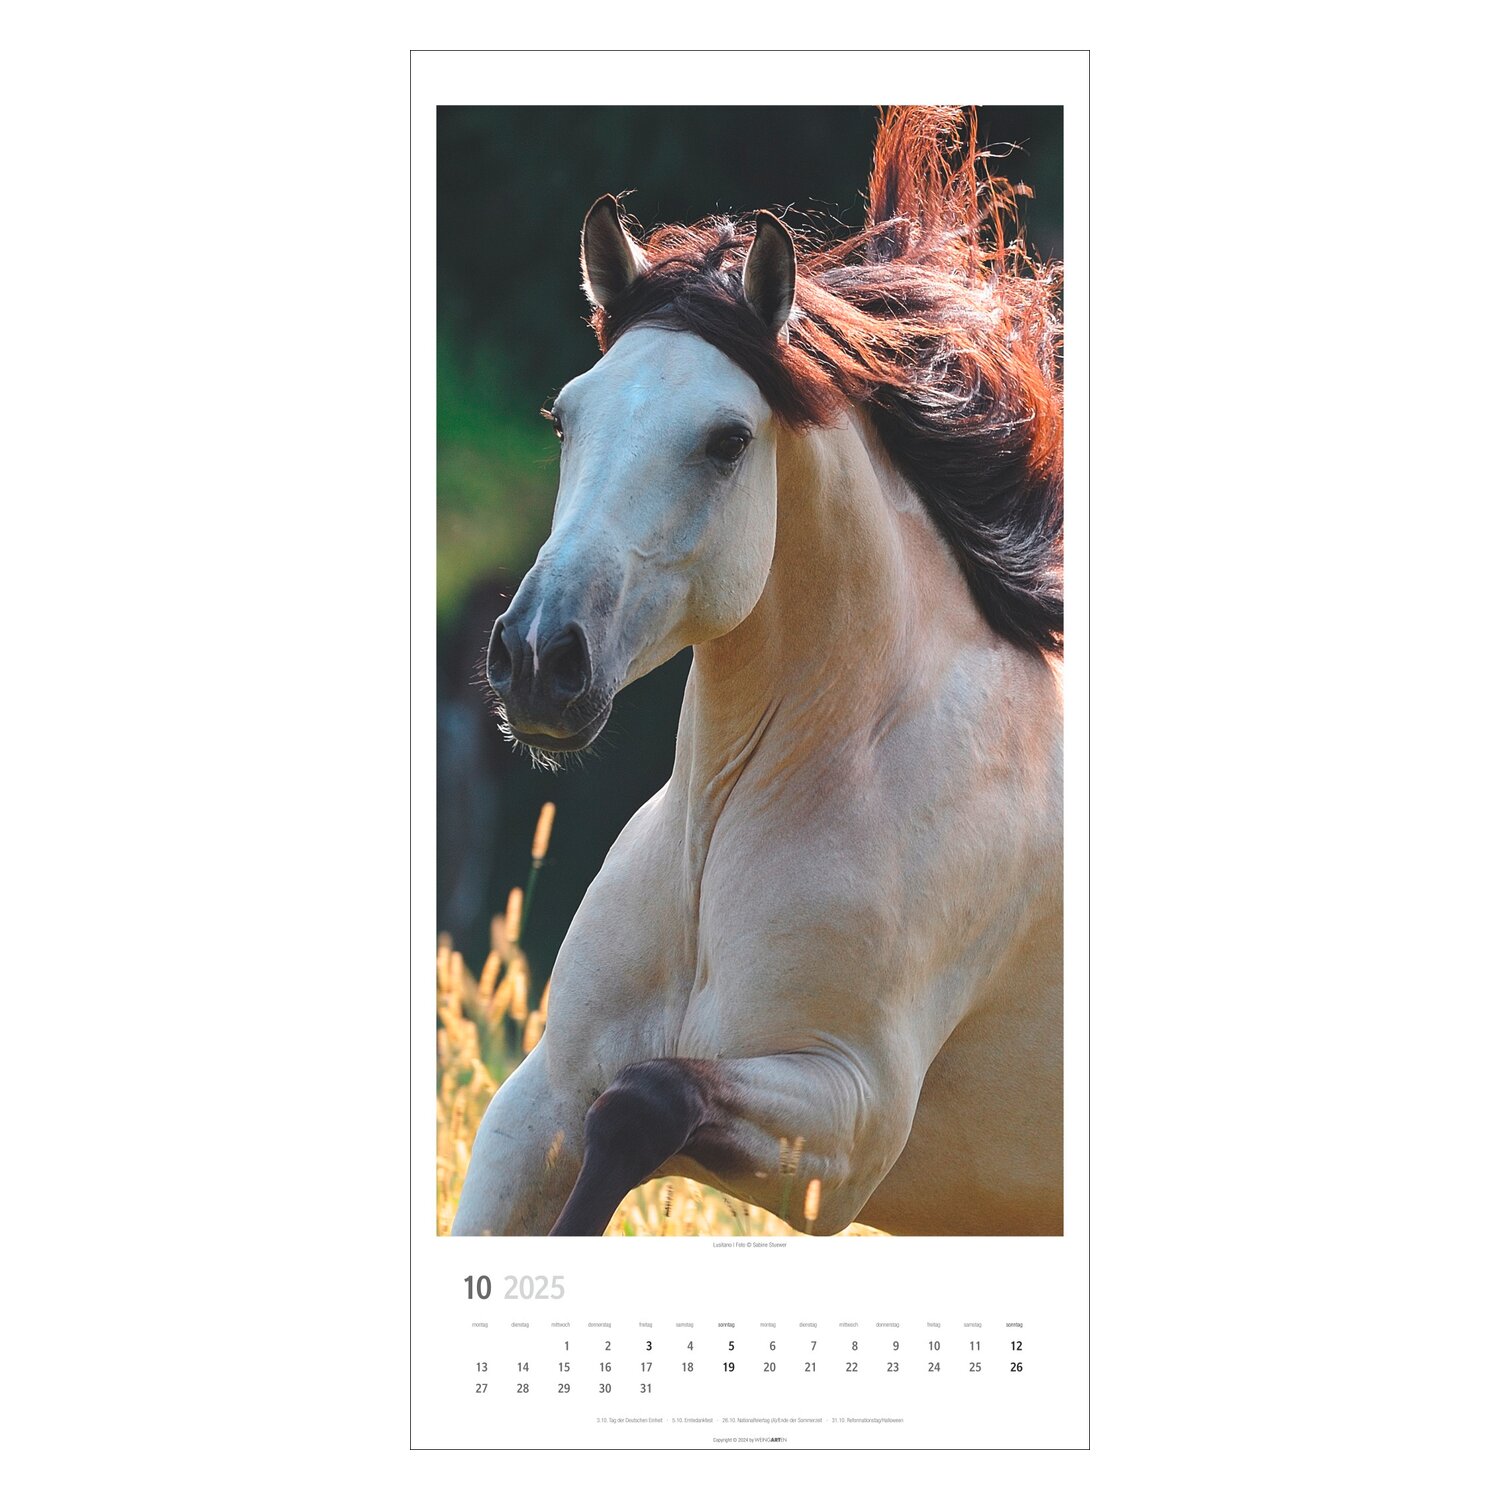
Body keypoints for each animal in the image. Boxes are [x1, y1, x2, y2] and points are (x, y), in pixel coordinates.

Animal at [452, 106, 1064, 1237]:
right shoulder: (538, 1098)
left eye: (728, 439)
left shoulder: (846, 1123)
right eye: (566, 416)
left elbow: (642, 1102)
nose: (537, 660)